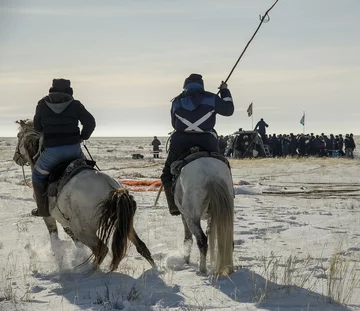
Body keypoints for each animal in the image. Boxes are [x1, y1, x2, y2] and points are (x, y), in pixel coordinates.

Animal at [12, 120, 153, 274]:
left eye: (18, 136)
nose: (16, 158)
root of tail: (112, 189)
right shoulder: (66, 222)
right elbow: (75, 242)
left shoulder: (49, 217)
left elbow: (54, 237)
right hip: (123, 224)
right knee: (141, 246)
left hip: (84, 230)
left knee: (101, 249)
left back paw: (89, 272)